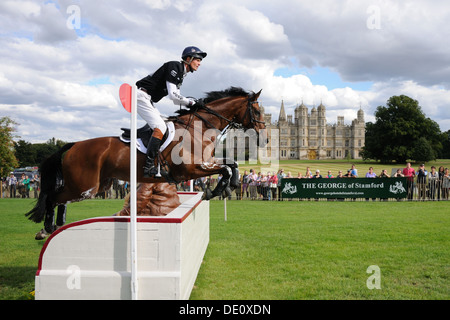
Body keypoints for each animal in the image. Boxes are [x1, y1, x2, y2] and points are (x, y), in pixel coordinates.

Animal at [26, 87, 266, 238]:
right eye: (257, 110)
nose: (264, 139)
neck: (199, 128)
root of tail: (73, 145)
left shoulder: (206, 162)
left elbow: (232, 165)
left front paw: (223, 188)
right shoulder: (190, 170)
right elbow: (226, 168)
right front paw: (217, 190)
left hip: (97, 184)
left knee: (59, 199)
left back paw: (56, 225)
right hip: (85, 187)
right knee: (53, 197)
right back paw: (46, 229)